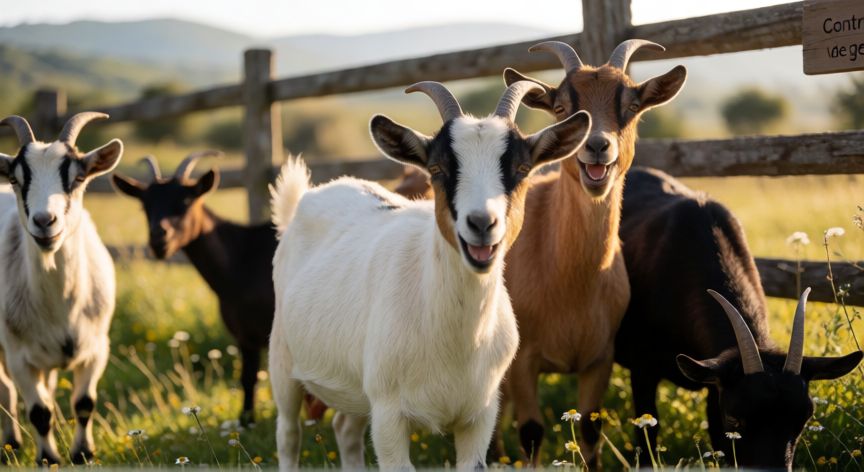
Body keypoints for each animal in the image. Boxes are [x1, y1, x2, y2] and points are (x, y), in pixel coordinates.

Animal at [0, 113, 123, 464]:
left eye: (79, 177)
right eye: (15, 179)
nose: (45, 222)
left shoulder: (97, 348)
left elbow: (84, 403)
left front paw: (83, 454)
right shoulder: (19, 356)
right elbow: (38, 411)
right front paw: (48, 459)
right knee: (8, 391)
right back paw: (11, 443)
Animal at [268, 81, 591, 471]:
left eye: (523, 167)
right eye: (437, 168)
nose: (481, 224)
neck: (455, 341)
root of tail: (305, 199)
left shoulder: (480, 417)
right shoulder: (389, 415)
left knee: (345, 428)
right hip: (282, 359)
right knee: (288, 435)